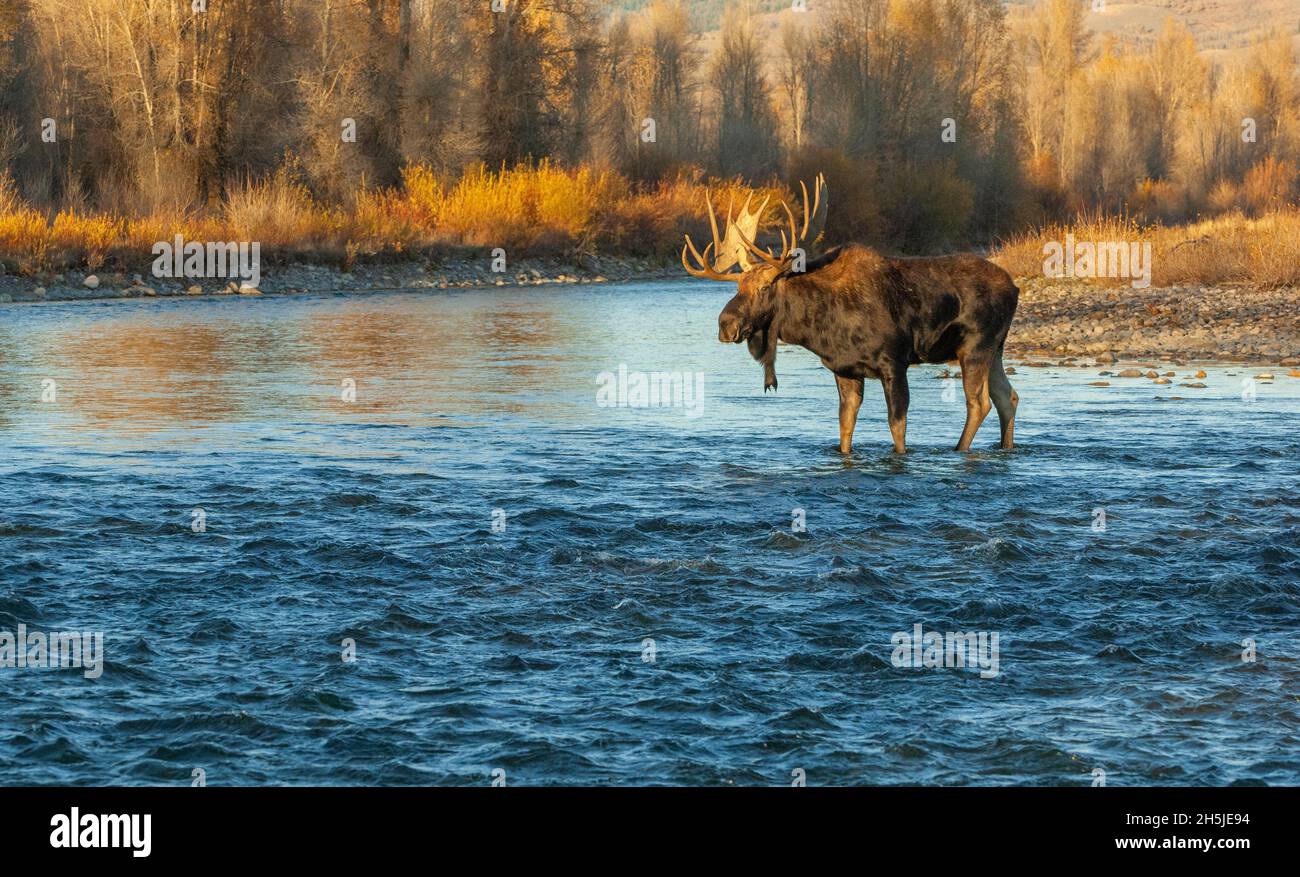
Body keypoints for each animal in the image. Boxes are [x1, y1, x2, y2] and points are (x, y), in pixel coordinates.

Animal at [686, 175, 1019, 457]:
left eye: (765, 287)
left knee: (979, 403)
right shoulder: (844, 369)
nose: (725, 325)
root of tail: (1014, 288)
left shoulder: (894, 362)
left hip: (975, 347)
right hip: (995, 349)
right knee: (1008, 397)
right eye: (738, 286)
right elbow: (845, 427)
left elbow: (897, 428)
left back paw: (959, 449)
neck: (821, 327)